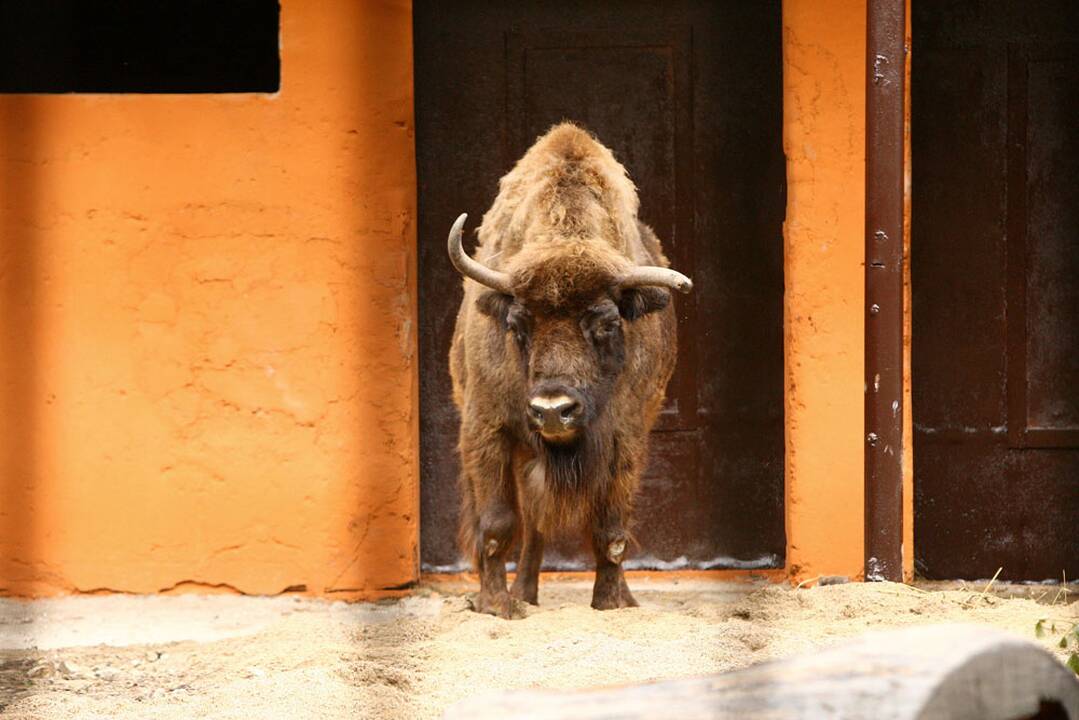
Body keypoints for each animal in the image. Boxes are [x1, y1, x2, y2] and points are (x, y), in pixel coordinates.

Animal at [444, 124, 690, 621]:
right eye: (518, 323)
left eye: (607, 323)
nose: (553, 410)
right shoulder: (486, 430)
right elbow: (496, 525)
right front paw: (497, 606)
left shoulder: (626, 439)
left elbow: (612, 532)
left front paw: (610, 603)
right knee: (525, 524)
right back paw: (516, 596)